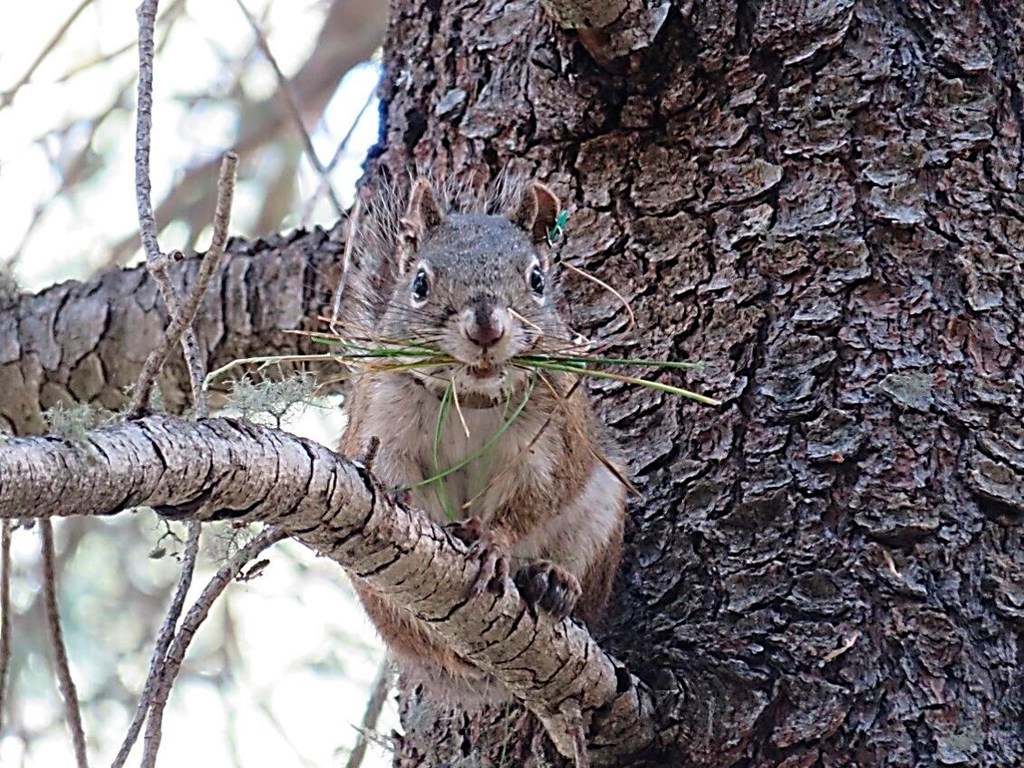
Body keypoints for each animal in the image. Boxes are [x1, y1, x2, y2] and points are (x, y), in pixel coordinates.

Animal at [337, 177, 622, 708]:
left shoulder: (551, 441)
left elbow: (535, 497)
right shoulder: (382, 419)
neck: (471, 397)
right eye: (420, 284)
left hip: (601, 515)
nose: (486, 326)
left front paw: (493, 542)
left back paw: (552, 582)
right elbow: (391, 473)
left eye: (537, 279)